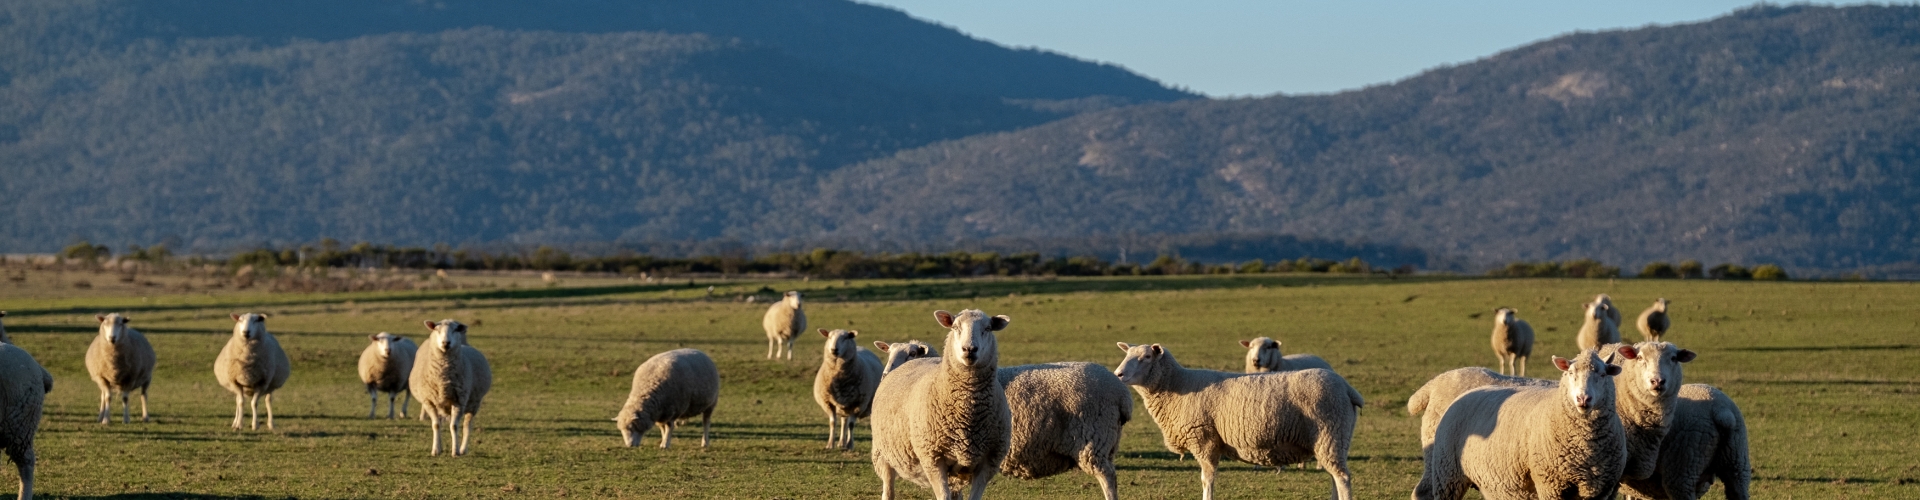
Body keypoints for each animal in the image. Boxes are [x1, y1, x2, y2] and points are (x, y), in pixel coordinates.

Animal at [410, 319, 493, 456]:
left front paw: (455, 451)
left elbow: (454, 426)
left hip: (474, 403)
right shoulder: (429, 401)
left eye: (455, 330)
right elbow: (436, 425)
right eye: (437, 330)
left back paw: (463, 449)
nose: (446, 343)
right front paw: (435, 450)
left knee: (467, 426)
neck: (443, 379)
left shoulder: (459, 400)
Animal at [870, 310, 1013, 500]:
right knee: (888, 490)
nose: (969, 349)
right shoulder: (933, 459)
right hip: (883, 456)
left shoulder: (989, 462)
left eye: (988, 328)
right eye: (955, 327)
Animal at [1112, 342, 1361, 500]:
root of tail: (1347, 388)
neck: (1178, 384)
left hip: (1330, 433)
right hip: (1333, 440)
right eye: (1127, 354)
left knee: (1342, 478)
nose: (1118, 375)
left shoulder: (1204, 439)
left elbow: (1207, 479)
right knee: (1334, 476)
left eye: (1146, 357)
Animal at [1413, 348, 1627, 500]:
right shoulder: (1550, 485)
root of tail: (1436, 381)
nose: (1583, 399)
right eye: (1570, 373)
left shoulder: (1601, 490)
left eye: (1603, 375)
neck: (1586, 449)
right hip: (1446, 471)